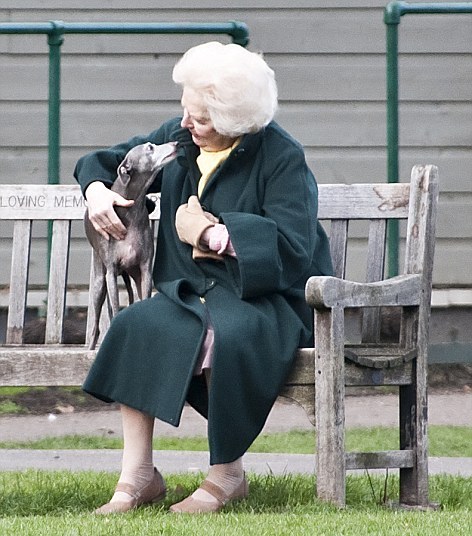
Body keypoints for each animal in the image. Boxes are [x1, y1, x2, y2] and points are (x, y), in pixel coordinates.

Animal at [84, 142, 178, 350]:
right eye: (150, 147)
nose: (176, 143)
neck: (131, 212)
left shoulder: (145, 269)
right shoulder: (111, 272)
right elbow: (116, 309)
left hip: (132, 275)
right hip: (99, 281)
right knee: (96, 326)